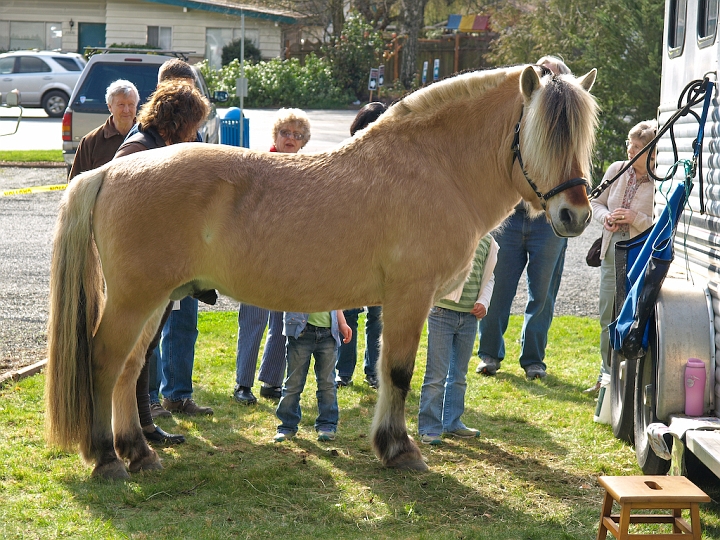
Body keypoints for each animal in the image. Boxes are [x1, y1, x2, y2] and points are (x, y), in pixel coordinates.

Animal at [43, 65, 596, 478]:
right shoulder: (409, 296)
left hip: (154, 301)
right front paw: (399, 449)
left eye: (582, 135)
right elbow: (397, 372)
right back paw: (107, 458)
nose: (576, 215)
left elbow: (385, 370)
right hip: (135, 300)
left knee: (130, 369)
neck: (433, 167)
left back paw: (140, 453)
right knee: (104, 363)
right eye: (543, 134)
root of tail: (110, 171)